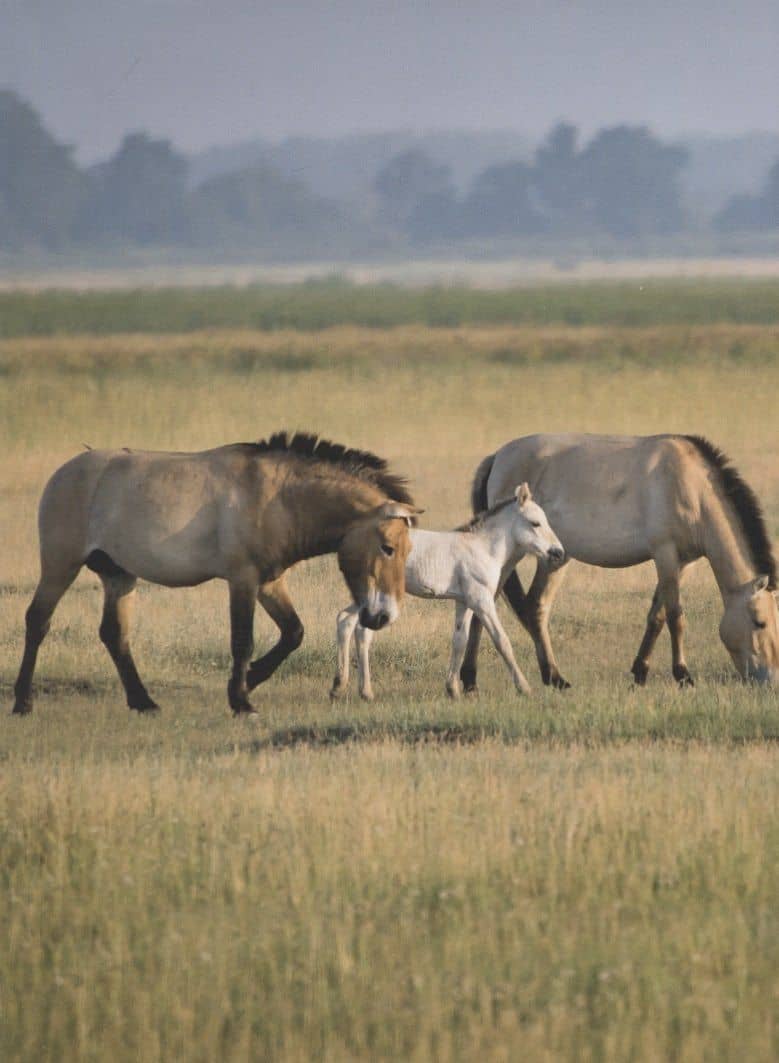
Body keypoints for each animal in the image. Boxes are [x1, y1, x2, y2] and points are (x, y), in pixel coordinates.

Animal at [12, 431, 421, 716]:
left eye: (407, 551)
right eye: (388, 547)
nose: (381, 616)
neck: (277, 498)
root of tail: (65, 471)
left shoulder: (270, 582)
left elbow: (293, 633)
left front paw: (249, 681)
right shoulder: (242, 580)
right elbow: (243, 641)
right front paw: (241, 700)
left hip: (119, 576)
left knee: (114, 635)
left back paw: (143, 701)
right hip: (60, 565)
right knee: (38, 621)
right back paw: (22, 702)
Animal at [330, 483, 565, 700]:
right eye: (535, 523)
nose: (558, 552)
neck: (483, 548)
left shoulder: (464, 602)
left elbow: (459, 641)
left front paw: (453, 690)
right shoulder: (482, 601)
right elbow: (502, 641)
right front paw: (524, 687)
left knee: (345, 621)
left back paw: (340, 687)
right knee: (361, 630)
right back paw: (364, 691)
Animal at [459, 434, 779, 691]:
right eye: (759, 622)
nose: (771, 679)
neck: (692, 489)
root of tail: (497, 457)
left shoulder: (684, 563)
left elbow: (657, 616)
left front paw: (640, 673)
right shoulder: (665, 554)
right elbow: (675, 616)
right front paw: (683, 676)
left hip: (555, 560)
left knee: (536, 608)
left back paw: (554, 677)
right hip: (509, 559)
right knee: (484, 610)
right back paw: (470, 679)